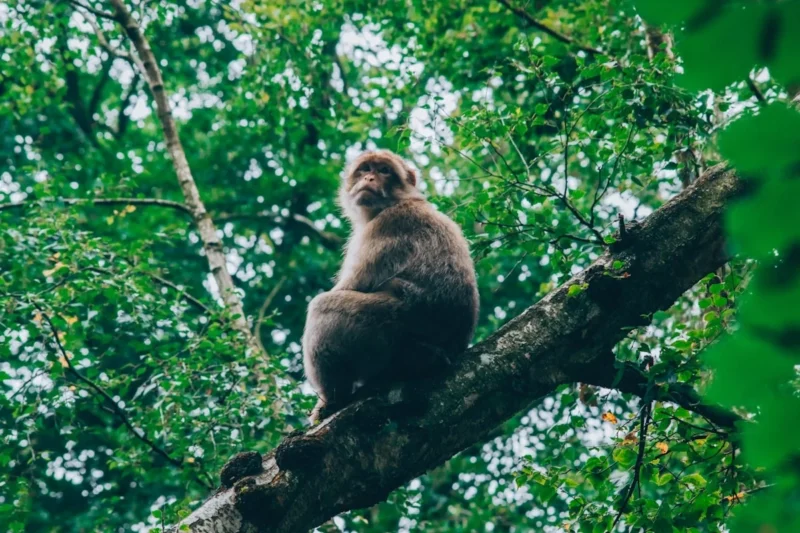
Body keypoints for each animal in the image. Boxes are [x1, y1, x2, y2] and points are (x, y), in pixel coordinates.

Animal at [302, 149, 479, 423]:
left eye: (385, 171)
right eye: (365, 169)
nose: (370, 178)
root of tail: (454, 347)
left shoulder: (385, 226)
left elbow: (347, 288)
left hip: (389, 326)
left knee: (322, 307)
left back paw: (333, 399)